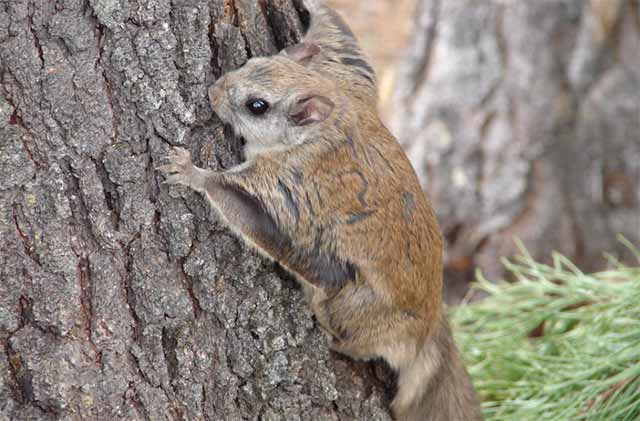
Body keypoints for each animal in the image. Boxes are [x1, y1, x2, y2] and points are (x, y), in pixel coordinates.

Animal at [158, 1, 482, 418]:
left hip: (352, 304)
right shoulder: (349, 77)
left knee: (359, 342)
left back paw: (335, 340)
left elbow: (245, 209)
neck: (327, 125)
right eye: (253, 60)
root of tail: (426, 331)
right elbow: (342, 39)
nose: (213, 91)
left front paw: (191, 173)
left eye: (257, 106)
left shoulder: (288, 185)